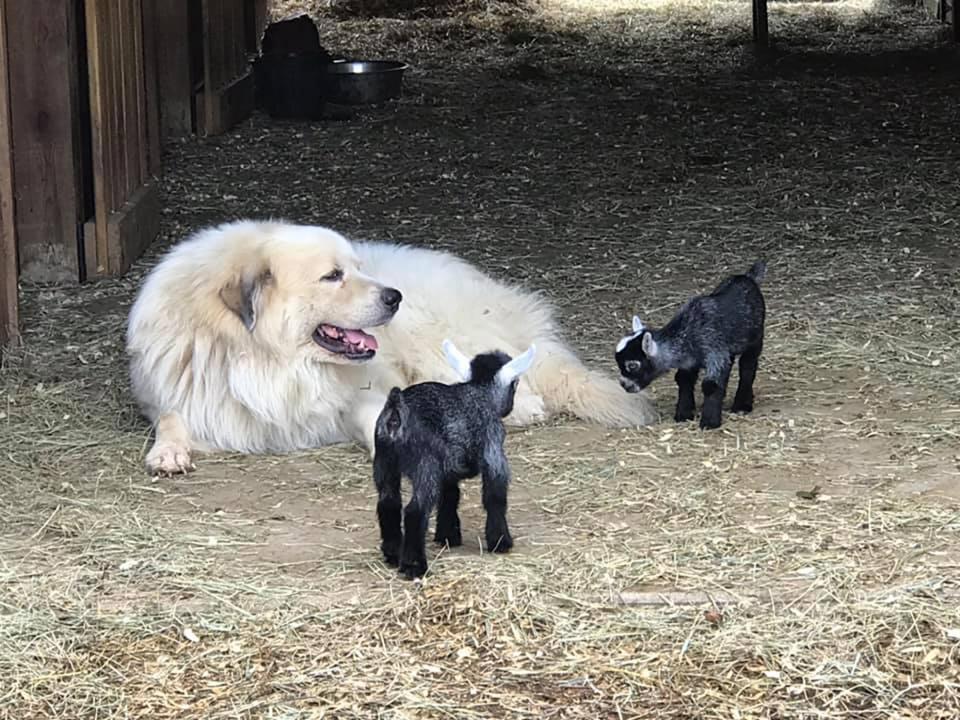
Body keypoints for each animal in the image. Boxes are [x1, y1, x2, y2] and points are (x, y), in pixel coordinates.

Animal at [124, 221, 656, 478]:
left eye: (356, 268)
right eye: (332, 276)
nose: (392, 296)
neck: (272, 363)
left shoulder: (361, 394)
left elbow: (380, 419)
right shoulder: (183, 398)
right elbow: (171, 418)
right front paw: (168, 452)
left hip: (433, 336)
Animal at [372, 338, 536, 580]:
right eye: (515, 384)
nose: (509, 407)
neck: (478, 391)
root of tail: (395, 414)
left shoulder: (449, 463)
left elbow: (450, 495)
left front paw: (448, 536)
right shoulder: (493, 450)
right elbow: (495, 496)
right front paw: (500, 541)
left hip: (385, 460)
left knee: (388, 502)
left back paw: (393, 553)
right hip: (425, 464)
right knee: (415, 511)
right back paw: (414, 565)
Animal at [620, 260, 768, 428]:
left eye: (633, 365)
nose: (624, 385)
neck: (688, 332)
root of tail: (748, 277)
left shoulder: (714, 350)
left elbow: (711, 385)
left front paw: (709, 422)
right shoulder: (690, 361)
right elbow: (684, 379)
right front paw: (684, 414)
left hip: (756, 336)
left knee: (748, 366)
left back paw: (742, 405)